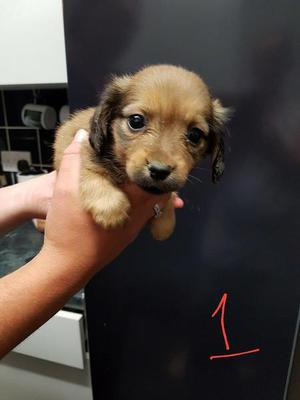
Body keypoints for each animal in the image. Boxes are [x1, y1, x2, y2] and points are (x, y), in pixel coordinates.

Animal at [53, 65, 230, 241]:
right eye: (136, 121)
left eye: (195, 135)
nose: (159, 171)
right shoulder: (76, 140)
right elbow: (90, 163)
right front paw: (109, 206)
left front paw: (165, 220)